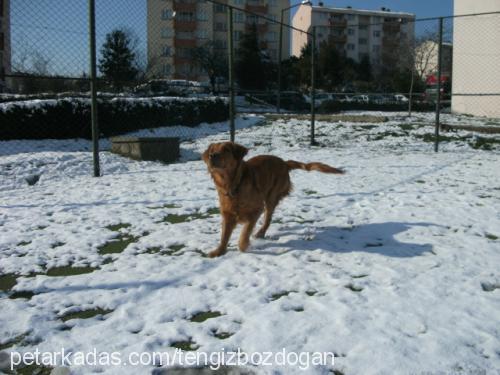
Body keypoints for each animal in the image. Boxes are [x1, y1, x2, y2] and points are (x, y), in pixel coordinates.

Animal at [203, 142, 344, 258]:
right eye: (212, 150)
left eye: (226, 149)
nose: (212, 156)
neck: (233, 184)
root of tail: (284, 162)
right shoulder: (227, 214)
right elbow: (224, 236)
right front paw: (219, 251)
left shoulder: (256, 210)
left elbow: (245, 233)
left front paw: (243, 246)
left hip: (271, 197)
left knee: (268, 219)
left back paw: (260, 232)